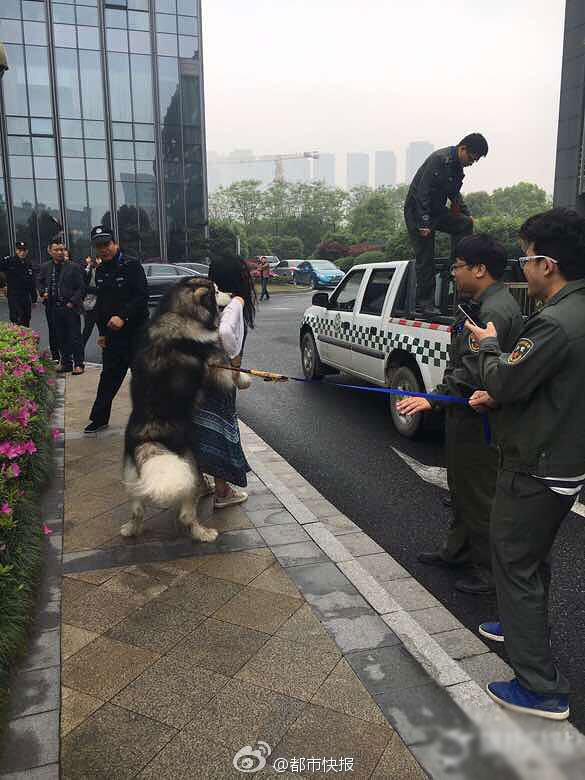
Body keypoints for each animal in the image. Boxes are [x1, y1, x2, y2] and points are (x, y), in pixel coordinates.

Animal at [118, 278, 237, 544]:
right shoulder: (216, 360)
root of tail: (149, 436)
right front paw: (246, 380)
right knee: (186, 514)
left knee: (137, 508)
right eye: (216, 291)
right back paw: (203, 533)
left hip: (132, 472)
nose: (233, 293)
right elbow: (232, 373)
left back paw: (131, 529)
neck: (178, 313)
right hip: (189, 466)